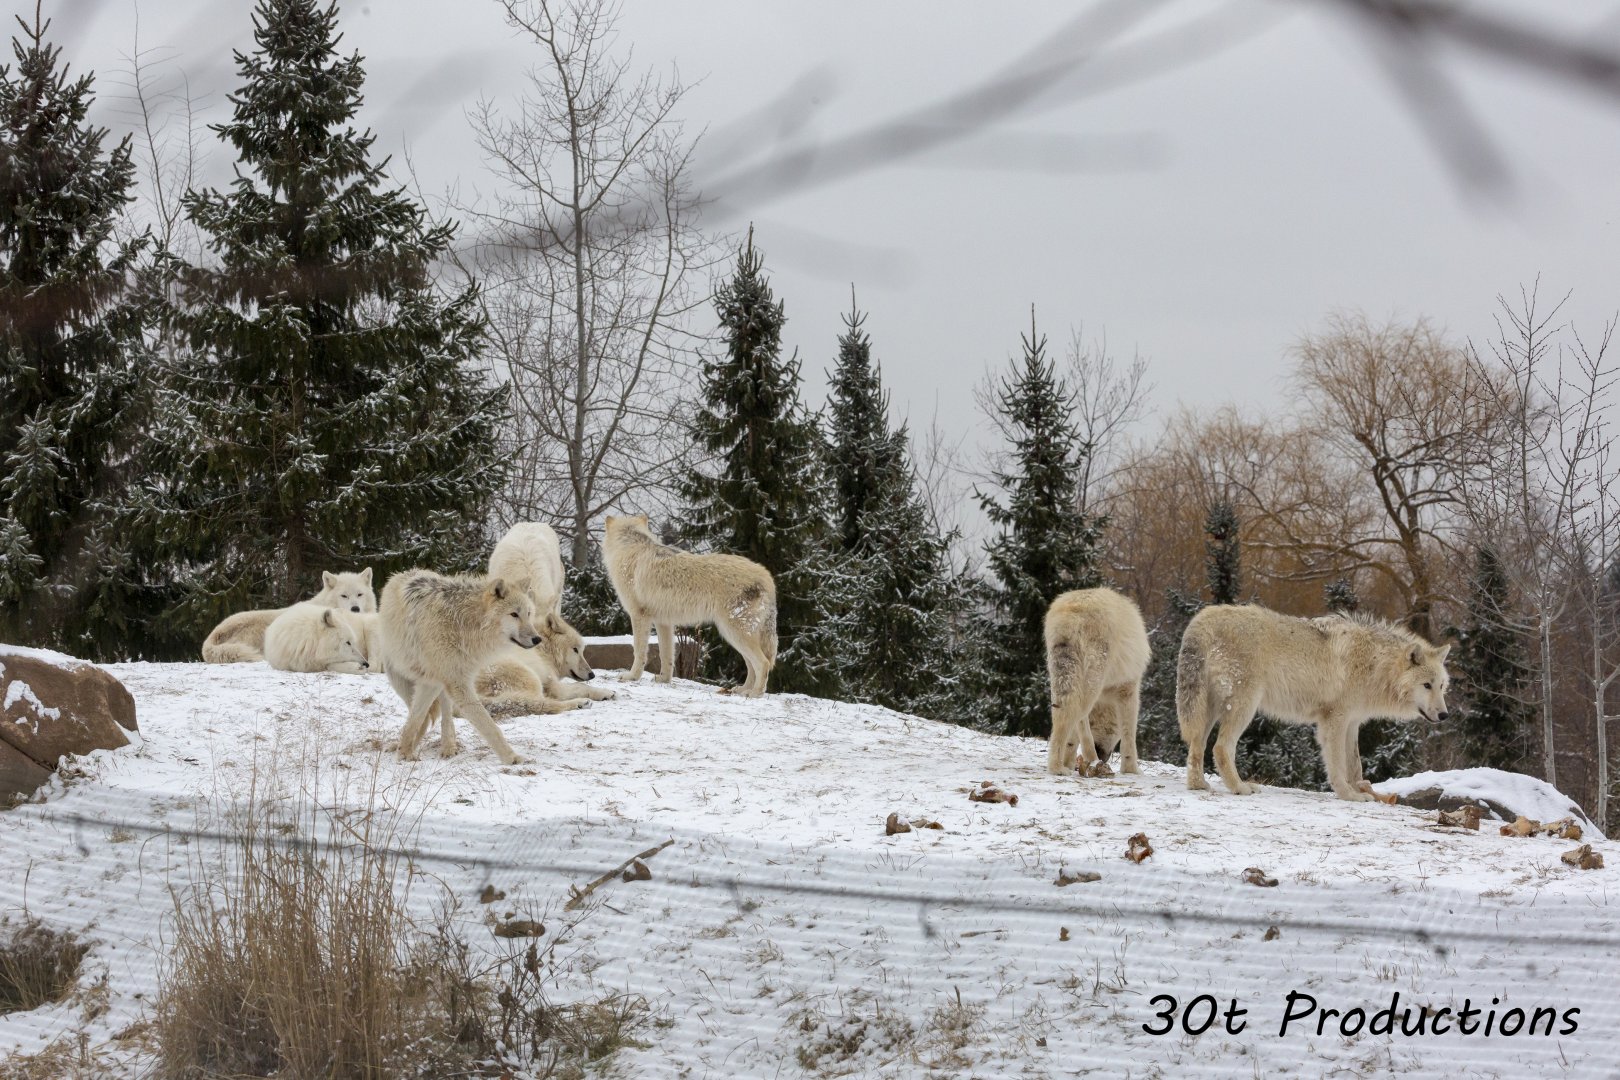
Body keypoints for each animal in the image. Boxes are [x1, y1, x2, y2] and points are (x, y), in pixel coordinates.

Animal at [379, 570, 541, 765]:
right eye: (514, 614)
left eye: (529, 613)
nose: (537, 639)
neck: (464, 622)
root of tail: (407, 572)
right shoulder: (449, 681)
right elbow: (487, 724)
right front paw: (404, 754)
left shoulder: (449, 680)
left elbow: (421, 717)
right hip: (400, 679)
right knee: (425, 716)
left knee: (444, 715)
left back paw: (448, 747)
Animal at [602, 514, 777, 697]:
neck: (630, 546)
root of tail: (767, 577)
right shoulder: (663, 622)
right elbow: (666, 655)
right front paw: (664, 679)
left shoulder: (639, 616)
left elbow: (639, 651)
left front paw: (632, 677)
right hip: (734, 636)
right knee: (751, 665)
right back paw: (742, 689)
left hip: (734, 633)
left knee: (763, 663)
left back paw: (755, 693)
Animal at [1044, 588, 1151, 776]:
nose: (1102, 754)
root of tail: (1070, 616)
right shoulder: (1129, 688)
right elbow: (1129, 734)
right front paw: (1131, 769)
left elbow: (1074, 736)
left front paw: (1070, 762)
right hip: (1093, 679)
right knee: (1076, 713)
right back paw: (1079, 761)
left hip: (1062, 677)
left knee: (1064, 715)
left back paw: (1059, 766)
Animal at [1177, 605, 1451, 801]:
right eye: (1426, 685)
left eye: (1441, 686)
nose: (1444, 715)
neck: (1375, 665)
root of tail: (1201, 619)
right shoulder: (1335, 720)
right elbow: (1338, 765)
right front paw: (1349, 795)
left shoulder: (1352, 723)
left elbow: (1355, 765)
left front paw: (1361, 791)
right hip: (1245, 707)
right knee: (1221, 748)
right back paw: (1240, 787)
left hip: (1207, 710)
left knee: (1197, 745)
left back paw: (1198, 785)